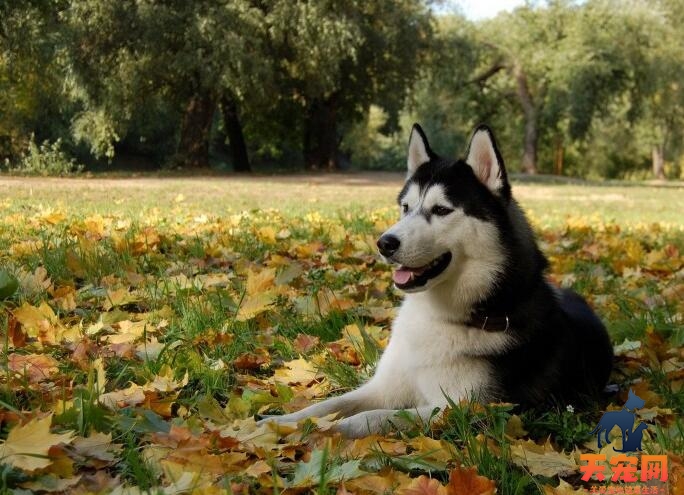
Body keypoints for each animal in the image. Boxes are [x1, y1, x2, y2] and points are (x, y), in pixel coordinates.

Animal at [260, 124, 612, 438]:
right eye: (405, 207)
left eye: (441, 210)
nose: (384, 243)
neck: (441, 316)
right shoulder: (384, 387)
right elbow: (327, 405)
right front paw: (279, 422)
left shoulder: (470, 407)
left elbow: (382, 416)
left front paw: (338, 428)